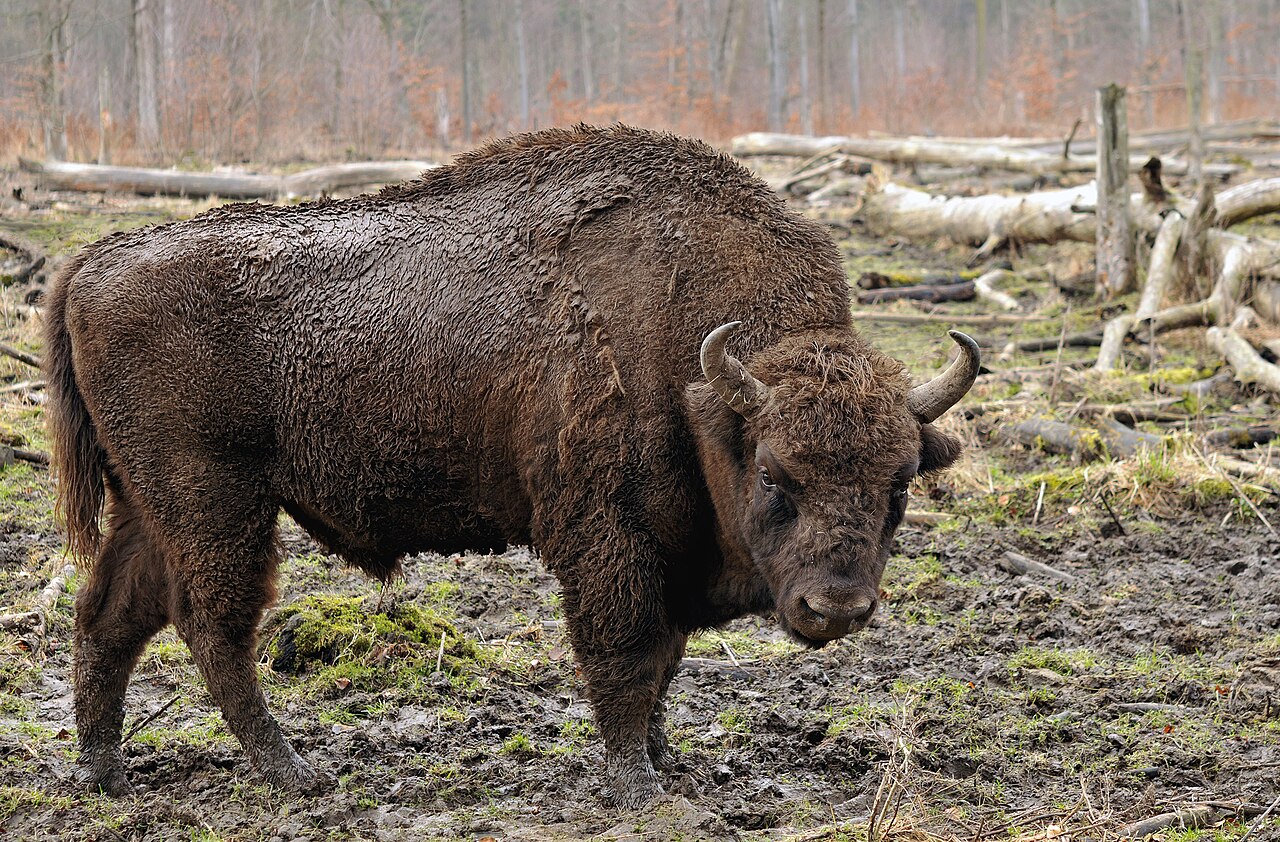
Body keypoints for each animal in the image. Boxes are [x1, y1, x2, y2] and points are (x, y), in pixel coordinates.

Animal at [45, 124, 977, 808]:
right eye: (777, 475)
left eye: (901, 483)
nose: (837, 607)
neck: (700, 379)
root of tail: (93, 259)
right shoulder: (609, 537)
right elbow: (627, 654)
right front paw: (639, 787)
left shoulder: (669, 551)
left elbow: (666, 661)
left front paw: (666, 760)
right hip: (216, 501)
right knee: (211, 626)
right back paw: (295, 773)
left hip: (148, 503)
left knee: (109, 615)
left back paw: (105, 773)